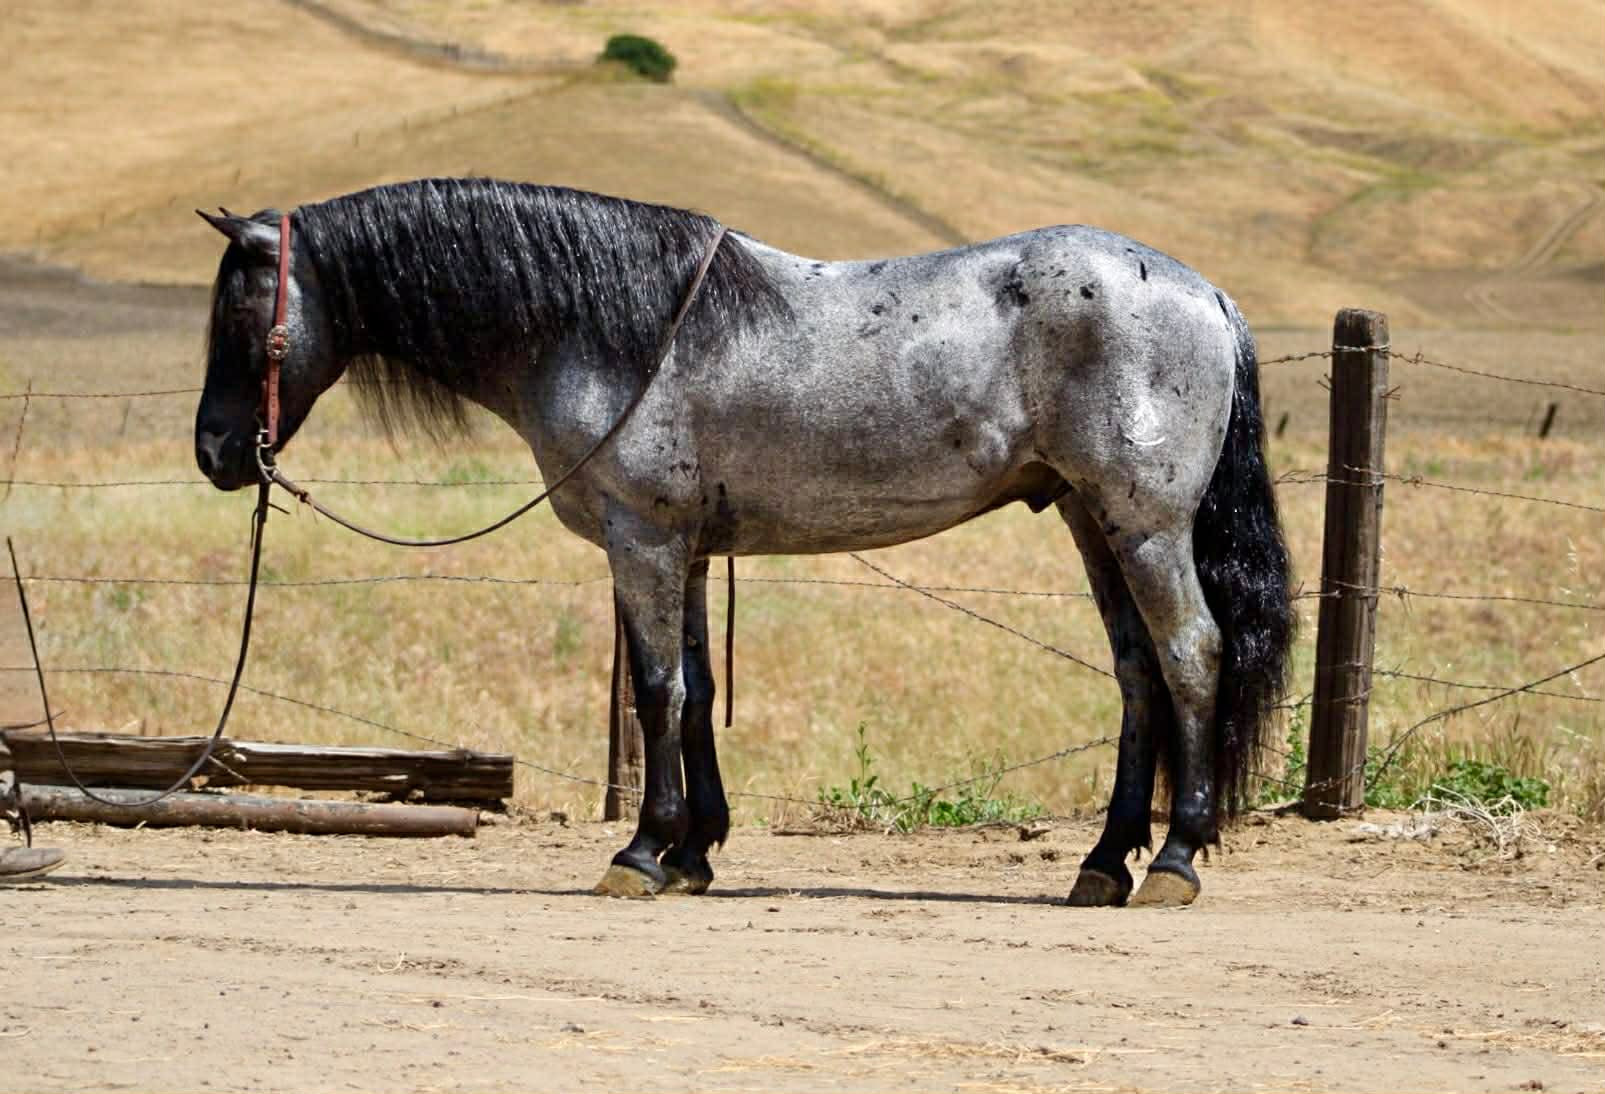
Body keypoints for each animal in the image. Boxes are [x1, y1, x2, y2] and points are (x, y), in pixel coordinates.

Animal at [194, 177, 1294, 907]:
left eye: (242, 312)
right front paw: (693, 853)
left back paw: (1176, 858)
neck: (609, 326)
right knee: (1138, 671)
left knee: (1191, 654)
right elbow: (694, 689)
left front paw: (640, 853)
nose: (214, 451)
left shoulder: (639, 537)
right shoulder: (681, 544)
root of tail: (1205, 296)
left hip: (1143, 523)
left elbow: (655, 691)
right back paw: (1104, 862)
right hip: (1087, 517)